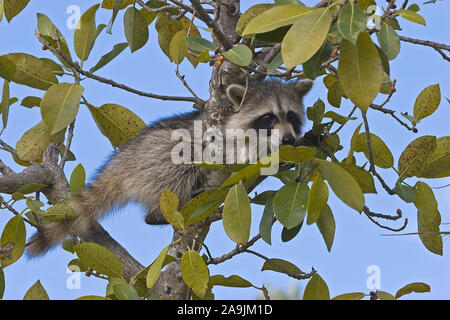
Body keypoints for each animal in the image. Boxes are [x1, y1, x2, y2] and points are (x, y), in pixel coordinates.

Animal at [27, 77, 312, 255]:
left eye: (291, 116)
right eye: (268, 117)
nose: (288, 139)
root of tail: (123, 161)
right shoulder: (222, 141)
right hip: (156, 156)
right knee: (180, 163)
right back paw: (163, 212)